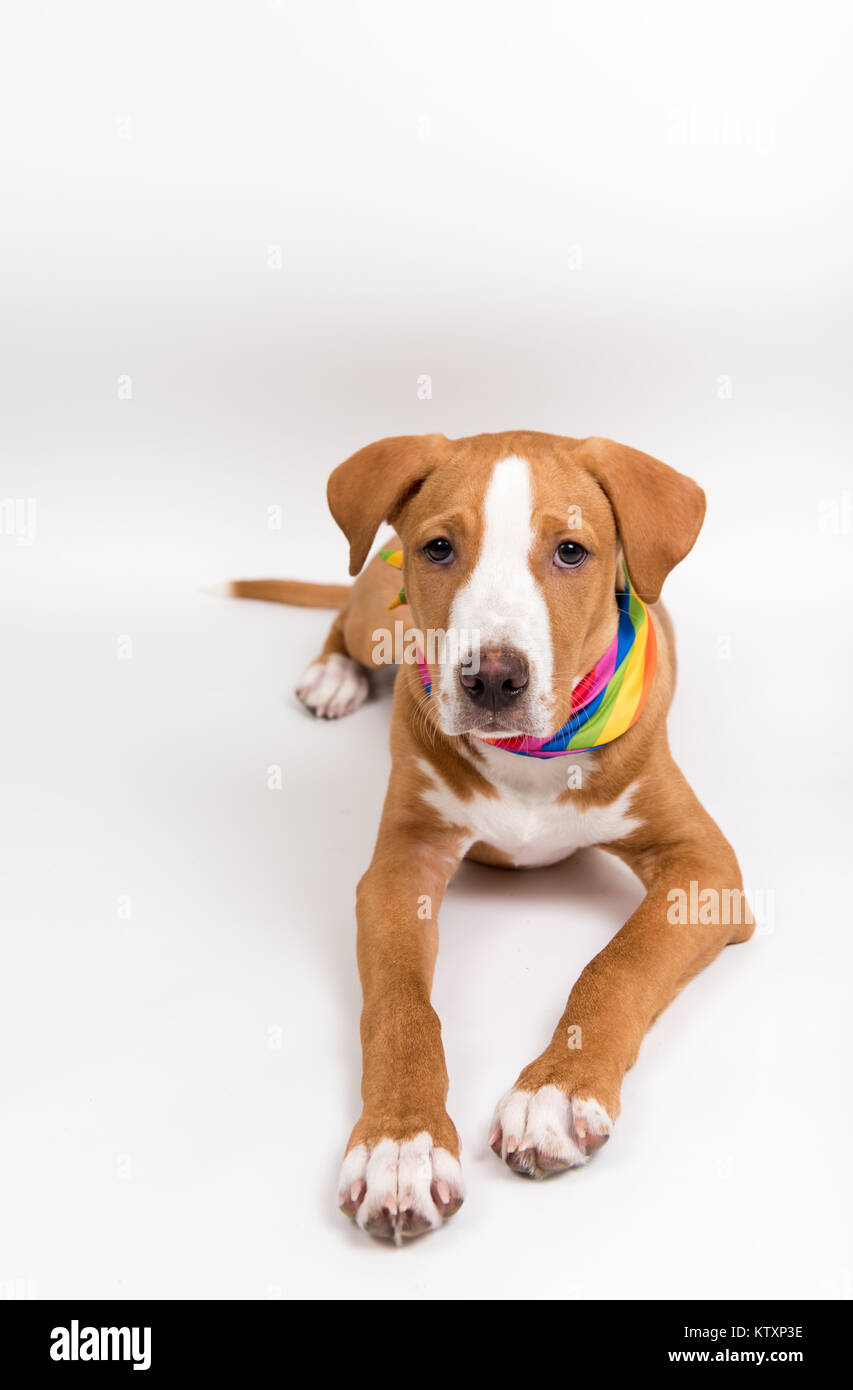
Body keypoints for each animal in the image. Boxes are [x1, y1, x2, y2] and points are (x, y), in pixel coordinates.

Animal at [229, 430, 755, 1239]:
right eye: (439, 547)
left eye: (571, 551)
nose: (494, 680)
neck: (531, 758)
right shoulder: (401, 866)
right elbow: (402, 1006)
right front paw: (400, 1146)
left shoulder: (705, 869)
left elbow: (617, 966)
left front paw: (557, 1094)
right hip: (376, 616)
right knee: (341, 620)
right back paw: (332, 675)